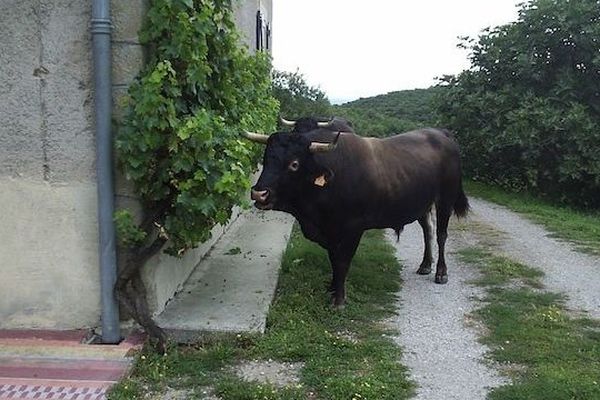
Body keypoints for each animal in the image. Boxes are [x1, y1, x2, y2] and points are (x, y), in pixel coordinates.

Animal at [243, 128, 468, 306]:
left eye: (294, 164)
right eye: (266, 158)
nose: (259, 193)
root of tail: (440, 133)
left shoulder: (353, 228)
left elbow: (343, 261)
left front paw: (339, 299)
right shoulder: (330, 232)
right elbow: (333, 260)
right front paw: (332, 287)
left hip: (446, 199)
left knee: (441, 234)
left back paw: (441, 272)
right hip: (423, 203)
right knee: (428, 230)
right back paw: (425, 264)